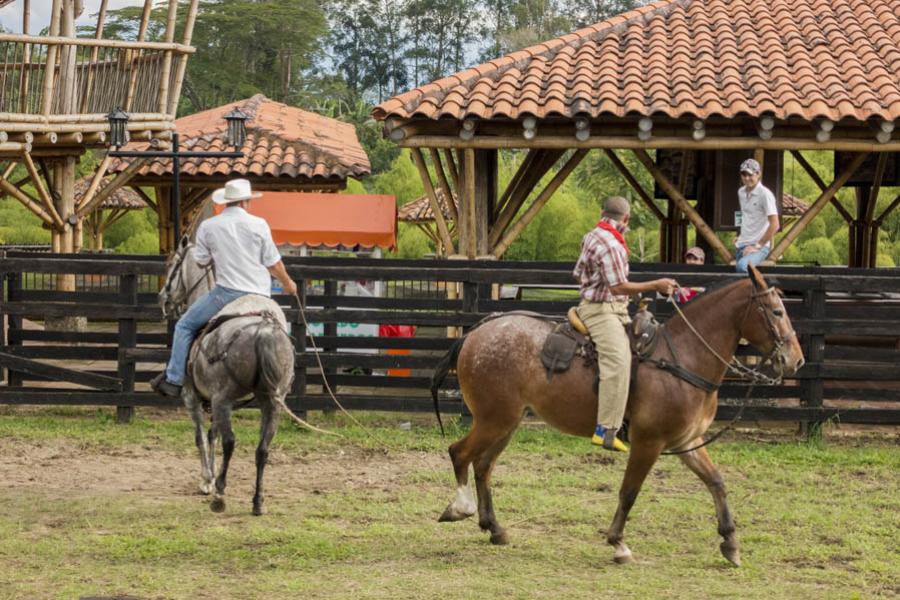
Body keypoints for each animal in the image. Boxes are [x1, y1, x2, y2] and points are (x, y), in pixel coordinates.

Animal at [157, 237, 292, 512]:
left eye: (172, 265)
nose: (162, 298)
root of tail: (263, 328)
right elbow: (213, 435)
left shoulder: (193, 398)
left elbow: (201, 436)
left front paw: (207, 480)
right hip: (271, 401)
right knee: (263, 448)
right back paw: (257, 502)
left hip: (224, 399)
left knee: (231, 441)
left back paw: (220, 493)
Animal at [432, 264, 804, 564]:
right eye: (776, 311)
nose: (796, 360)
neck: (682, 358)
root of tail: (474, 333)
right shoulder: (649, 442)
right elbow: (629, 492)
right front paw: (618, 543)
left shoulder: (687, 441)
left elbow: (717, 482)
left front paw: (730, 543)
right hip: (494, 418)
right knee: (459, 453)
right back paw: (461, 507)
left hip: (508, 422)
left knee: (483, 465)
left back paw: (494, 527)